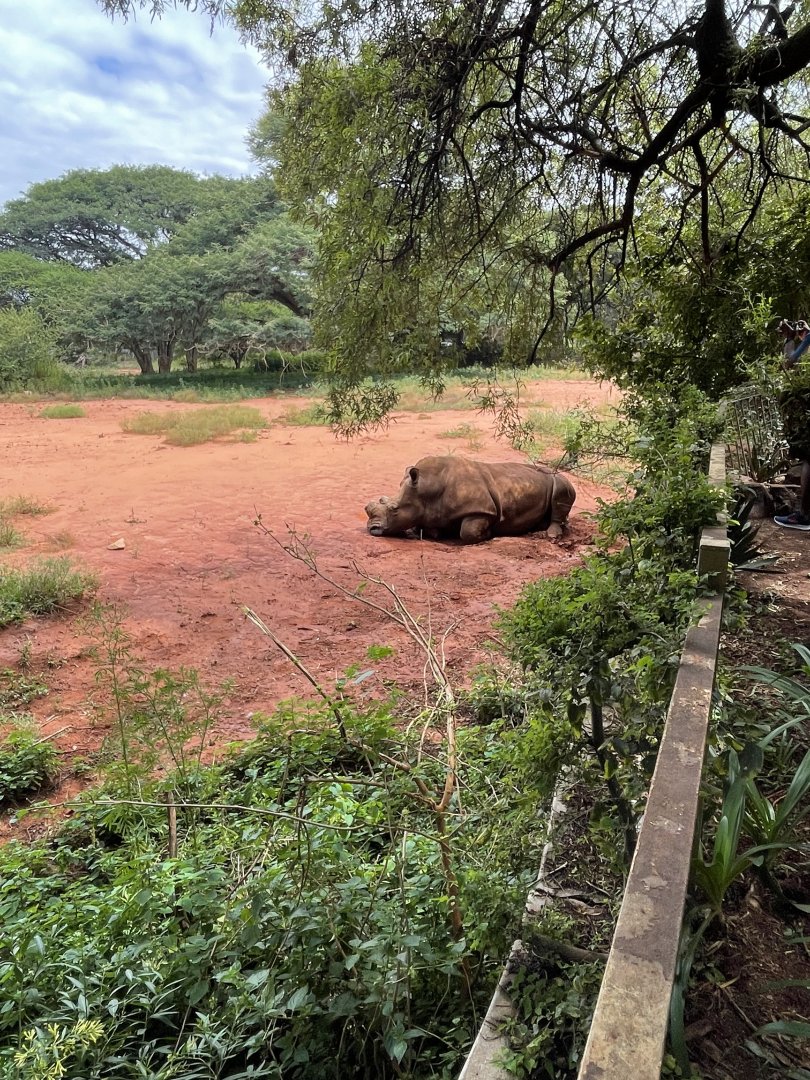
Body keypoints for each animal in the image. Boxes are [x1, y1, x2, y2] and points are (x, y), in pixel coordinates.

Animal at [365, 455, 576, 543]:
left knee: (561, 488)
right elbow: (426, 528)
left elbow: (467, 532)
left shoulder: (482, 509)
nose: (371, 528)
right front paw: (435, 532)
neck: (426, 488)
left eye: (394, 509)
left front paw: (488, 534)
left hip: (558, 478)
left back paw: (551, 535)